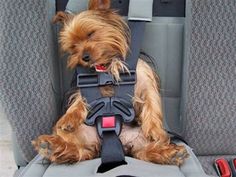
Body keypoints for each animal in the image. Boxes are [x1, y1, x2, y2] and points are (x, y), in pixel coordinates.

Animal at [32, 0, 188, 166]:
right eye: (73, 46)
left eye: (90, 33)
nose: (84, 57)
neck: (106, 65)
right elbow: (80, 101)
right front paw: (68, 118)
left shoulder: (145, 80)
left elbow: (152, 104)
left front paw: (155, 130)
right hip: (77, 134)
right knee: (80, 150)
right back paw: (53, 146)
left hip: (140, 139)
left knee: (144, 152)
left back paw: (170, 153)